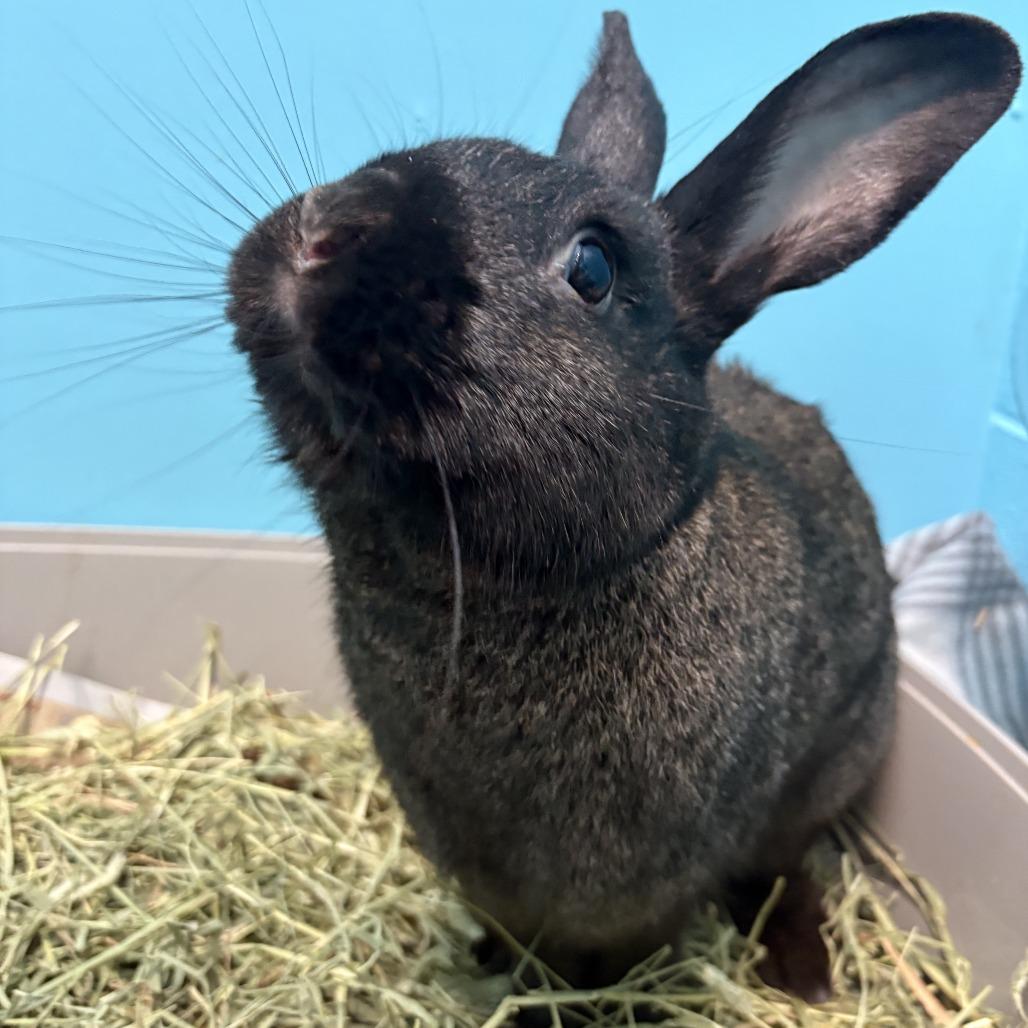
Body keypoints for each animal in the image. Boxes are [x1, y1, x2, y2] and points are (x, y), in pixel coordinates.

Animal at [226, 10, 1022, 1001]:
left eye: (594, 268)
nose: (328, 229)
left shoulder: (646, 894)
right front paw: (493, 969)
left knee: (787, 863)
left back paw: (802, 970)